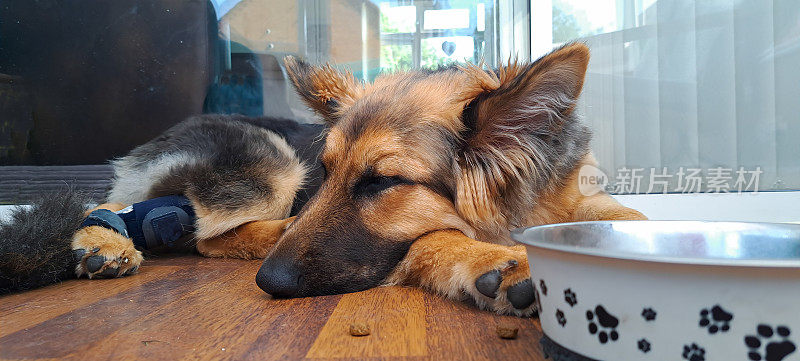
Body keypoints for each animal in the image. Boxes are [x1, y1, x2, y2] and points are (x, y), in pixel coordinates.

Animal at [0, 43, 644, 316]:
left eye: (381, 182)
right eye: (328, 171)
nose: (269, 282)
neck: (530, 207)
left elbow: (628, 217)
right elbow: (432, 241)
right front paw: (493, 261)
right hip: (269, 160)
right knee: (200, 234)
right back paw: (103, 240)